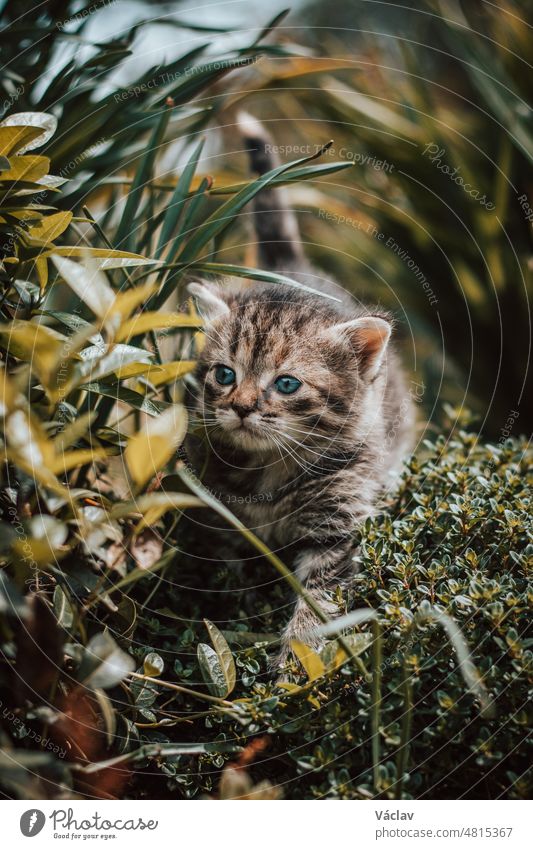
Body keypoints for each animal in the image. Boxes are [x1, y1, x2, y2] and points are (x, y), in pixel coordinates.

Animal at [185, 114, 414, 668]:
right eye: (225, 375)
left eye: (286, 384)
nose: (242, 407)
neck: (272, 469)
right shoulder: (226, 520)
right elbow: (232, 574)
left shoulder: (340, 524)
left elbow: (318, 602)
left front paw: (296, 665)